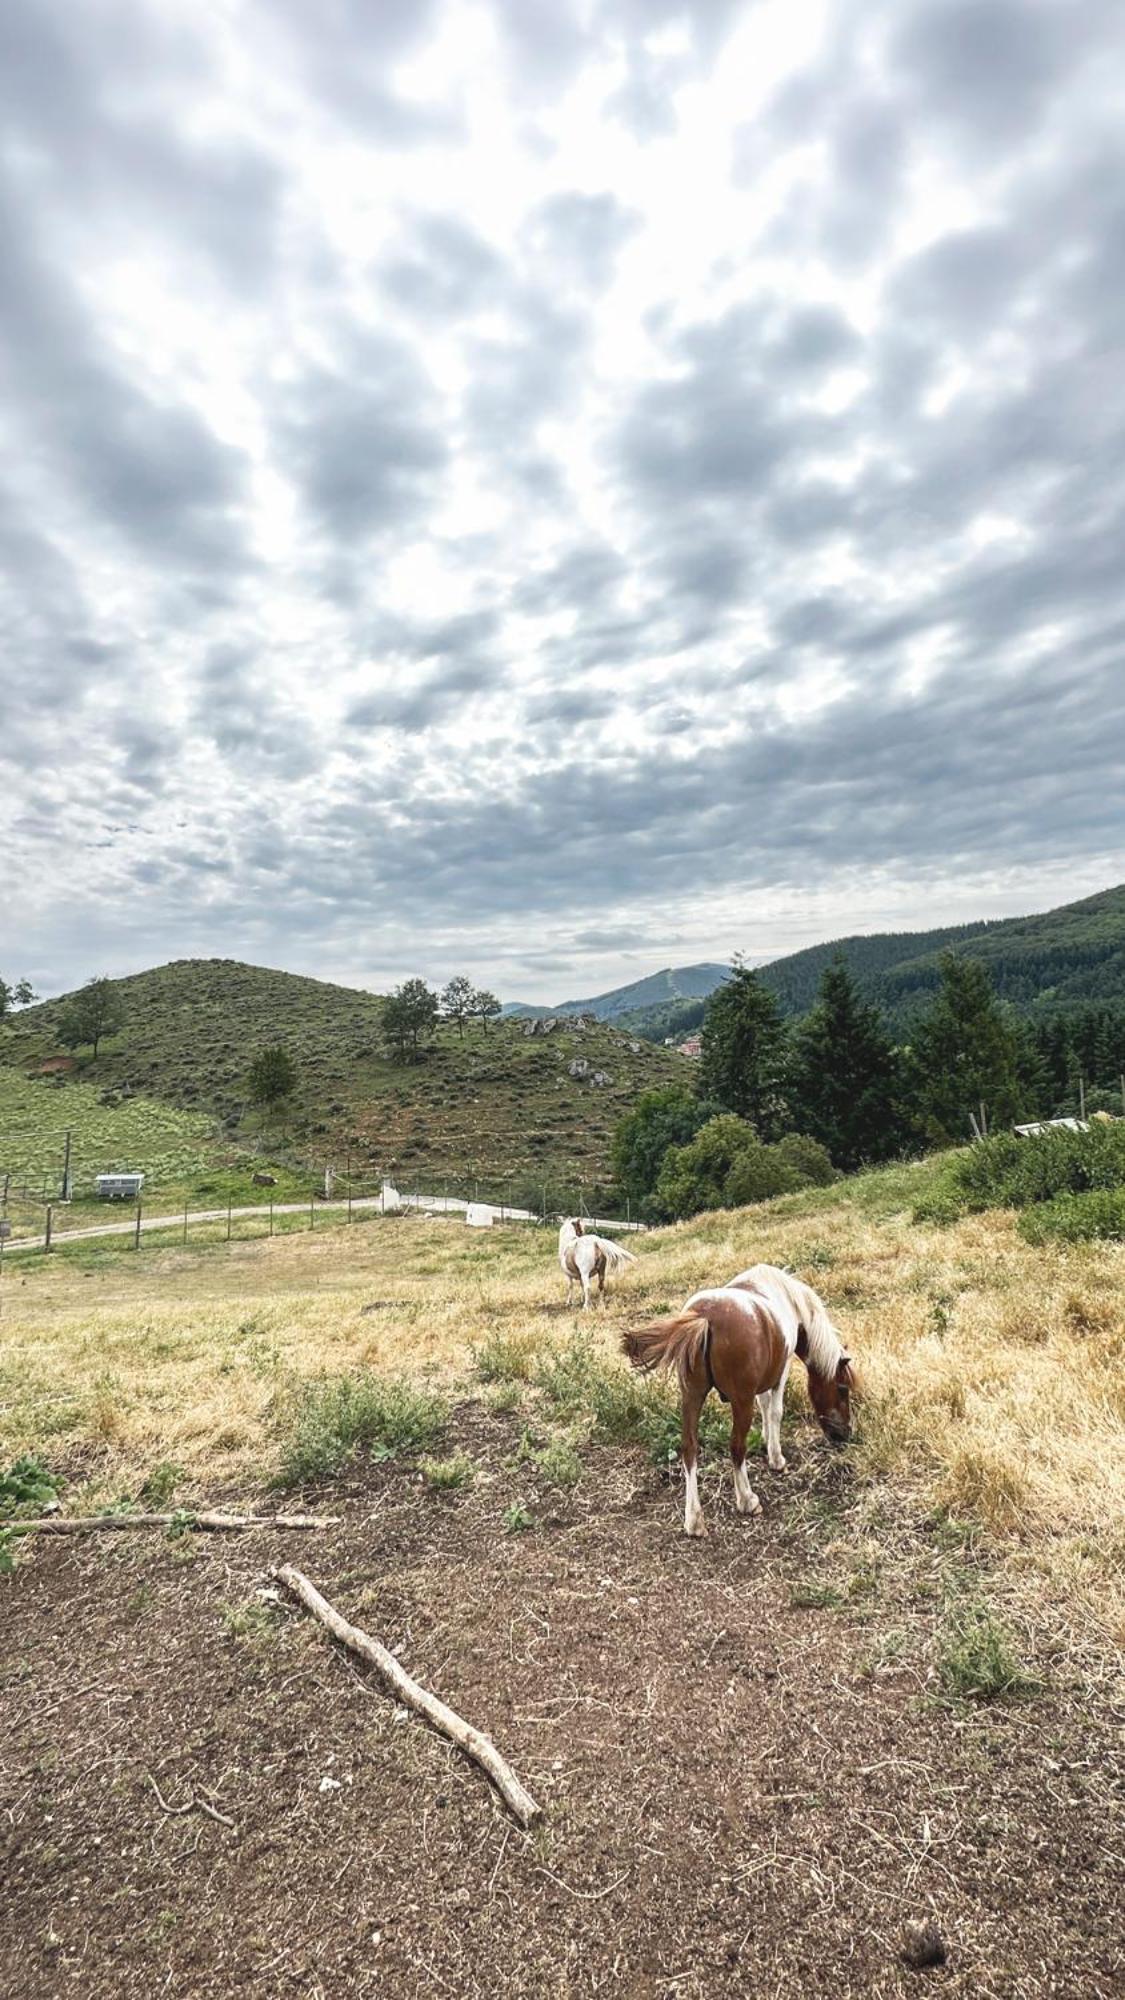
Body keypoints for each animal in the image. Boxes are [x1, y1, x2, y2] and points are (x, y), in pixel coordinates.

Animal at [620, 1264, 848, 1528]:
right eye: (843, 1389)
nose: (845, 1435)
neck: (789, 1301)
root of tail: (704, 1317)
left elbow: (764, 1405)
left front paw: (766, 1441)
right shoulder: (780, 1373)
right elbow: (775, 1412)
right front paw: (776, 1458)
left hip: (692, 1397)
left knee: (689, 1448)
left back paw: (694, 1519)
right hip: (740, 1402)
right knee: (737, 1447)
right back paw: (747, 1500)